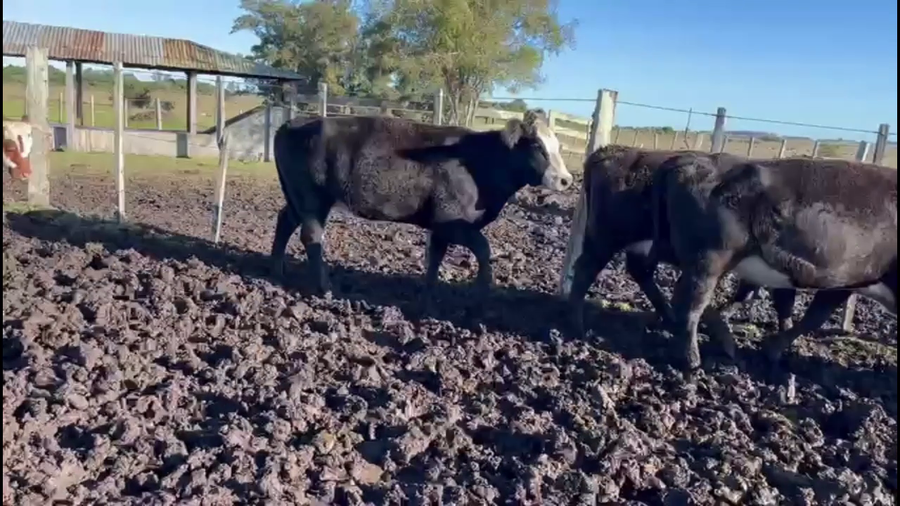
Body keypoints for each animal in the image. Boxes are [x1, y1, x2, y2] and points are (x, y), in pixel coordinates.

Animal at [270, 110, 574, 297]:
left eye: (558, 146)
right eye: (537, 146)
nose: (566, 180)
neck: (480, 160)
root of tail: (296, 122)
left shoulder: (441, 226)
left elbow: (436, 255)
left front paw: (430, 289)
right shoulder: (452, 222)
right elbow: (483, 247)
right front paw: (484, 287)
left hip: (298, 199)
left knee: (284, 220)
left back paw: (278, 270)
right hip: (313, 200)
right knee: (311, 236)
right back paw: (325, 287)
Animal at [557, 146, 797, 356]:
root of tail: (611, 150)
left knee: (637, 271)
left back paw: (669, 318)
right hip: (607, 237)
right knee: (588, 267)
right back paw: (578, 326)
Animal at [650, 152, 897, 371]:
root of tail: (689, 160)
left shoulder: (847, 282)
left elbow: (805, 313)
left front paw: (776, 352)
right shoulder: (848, 279)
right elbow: (813, 317)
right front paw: (772, 349)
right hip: (709, 257)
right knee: (691, 303)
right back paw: (692, 361)